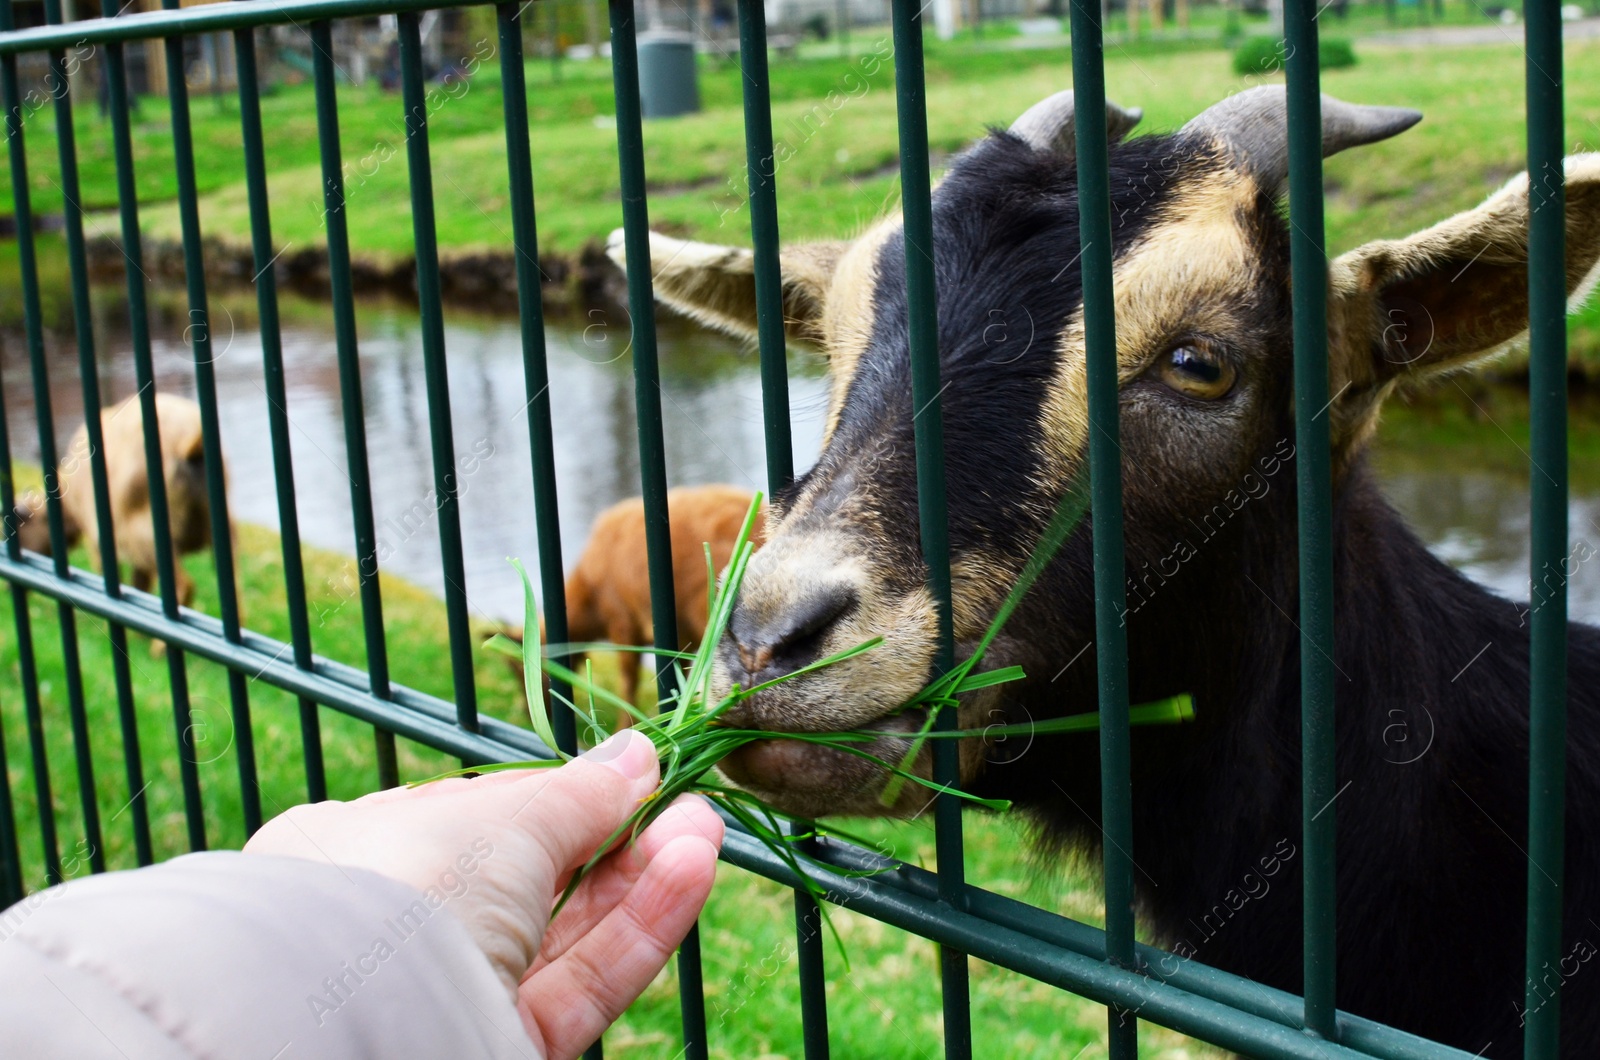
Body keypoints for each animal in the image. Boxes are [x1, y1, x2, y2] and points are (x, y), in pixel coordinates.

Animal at [10, 392, 228, 614]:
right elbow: (139, 585)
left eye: (22, 528)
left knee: (184, 585)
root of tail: (187, 444)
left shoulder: (98, 540)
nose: (7, 589)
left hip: (147, 537)